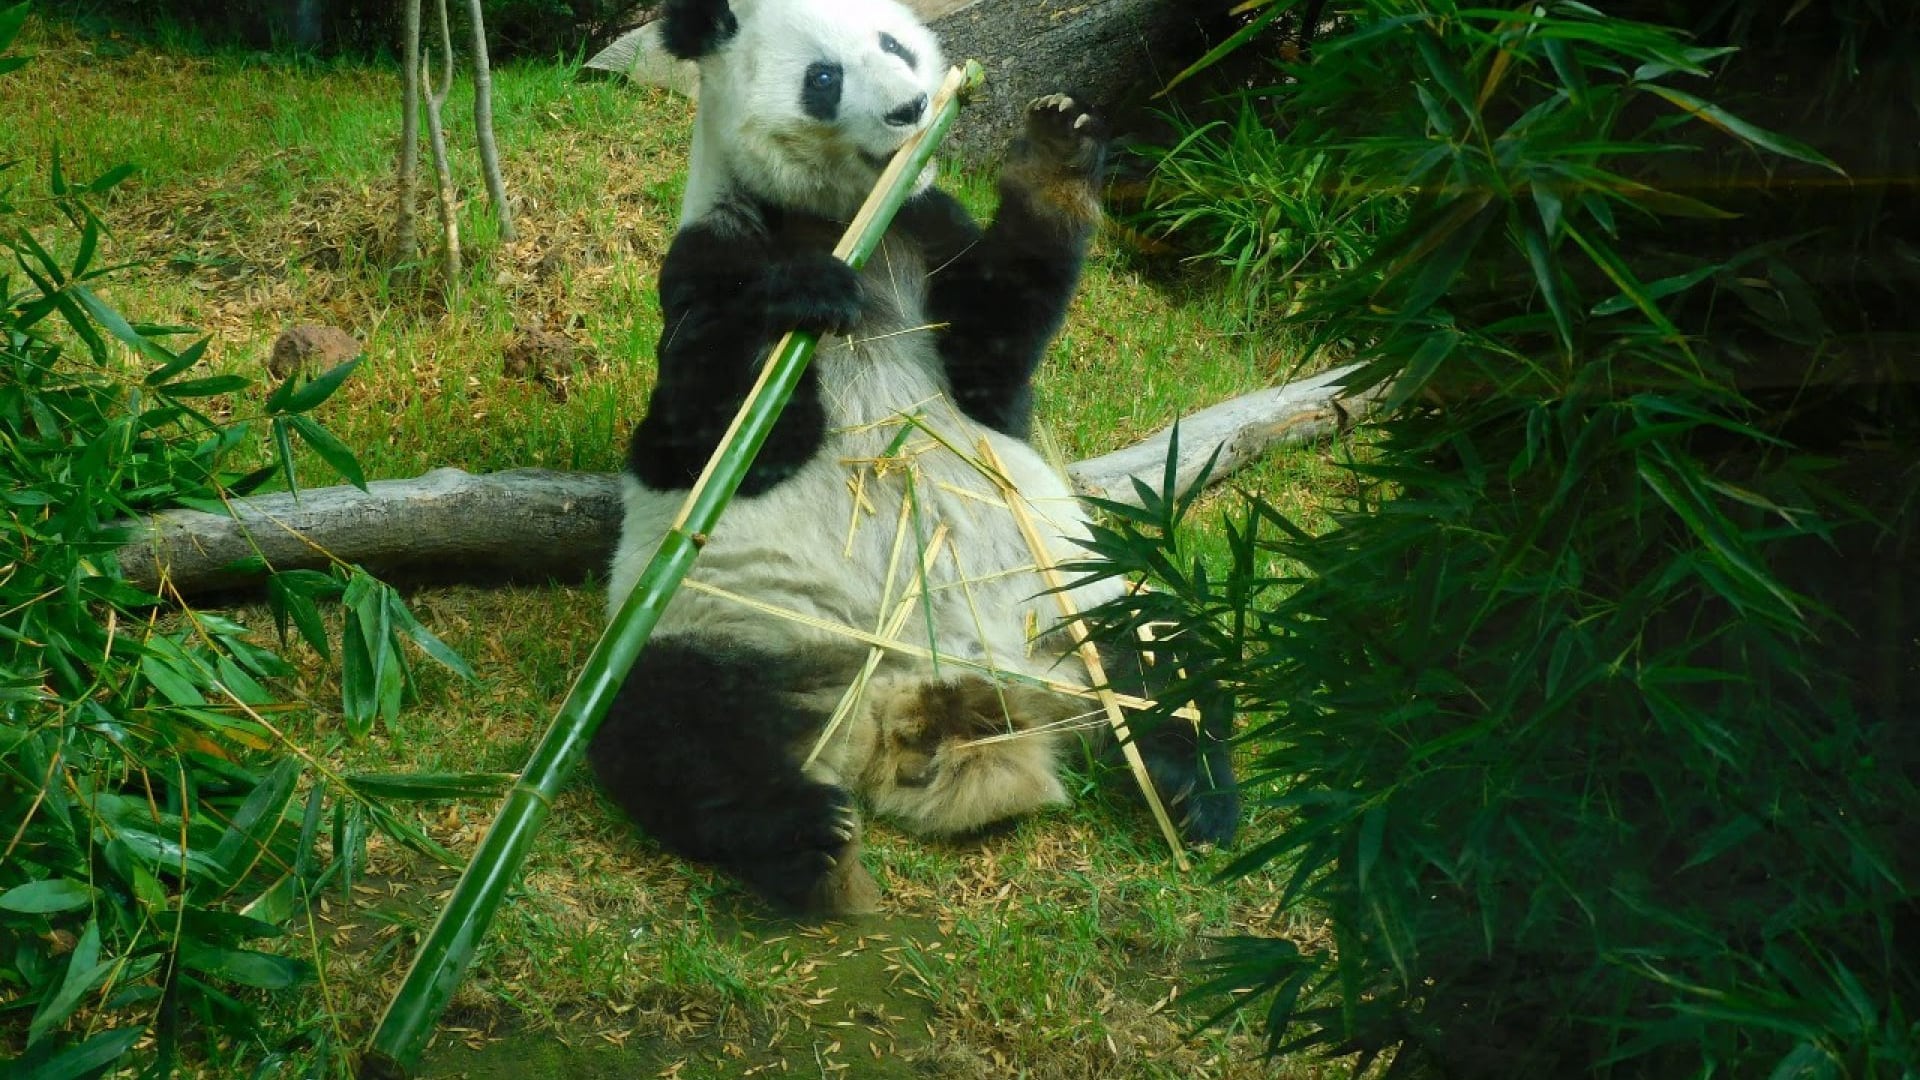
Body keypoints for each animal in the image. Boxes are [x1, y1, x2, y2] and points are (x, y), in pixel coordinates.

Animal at [588, 0, 1239, 915]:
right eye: (823, 78)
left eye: (894, 43)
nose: (910, 108)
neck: (850, 220)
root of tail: (928, 696)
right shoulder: (711, 251)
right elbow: (702, 437)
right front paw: (803, 294)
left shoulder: (930, 238)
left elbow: (993, 363)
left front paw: (1057, 149)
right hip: (731, 627)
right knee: (672, 731)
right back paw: (808, 836)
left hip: (1079, 596)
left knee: (1170, 647)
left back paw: (1193, 788)